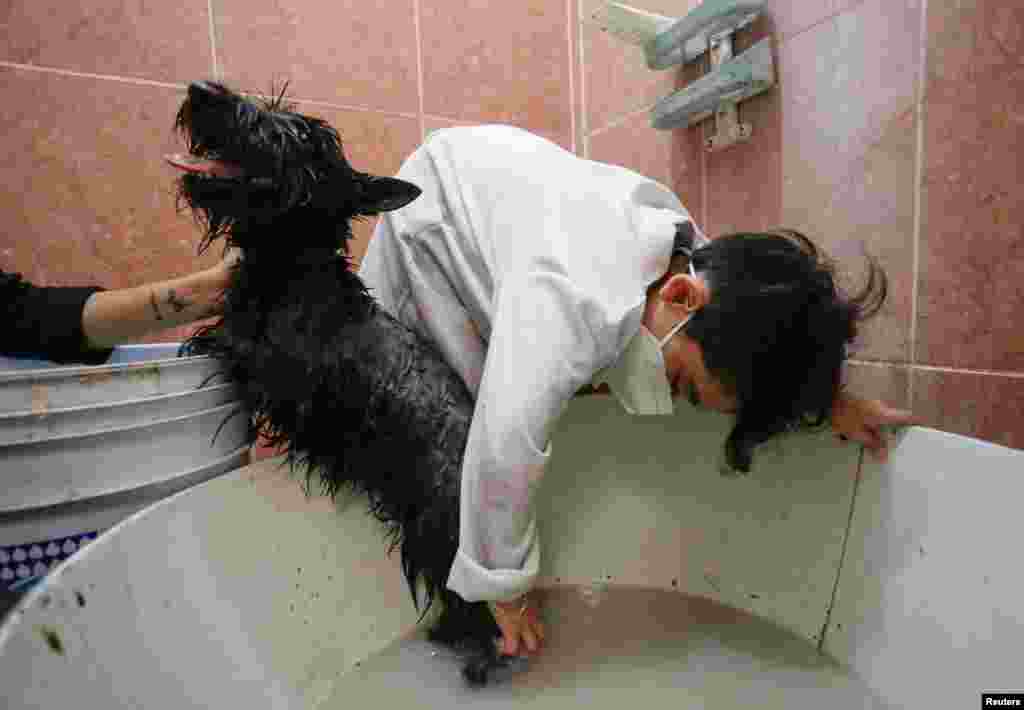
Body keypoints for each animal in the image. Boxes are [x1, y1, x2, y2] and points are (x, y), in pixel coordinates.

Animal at [171, 80, 507, 684]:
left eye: (300, 134)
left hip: (436, 532)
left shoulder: (271, 375)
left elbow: (225, 351)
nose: (203, 89)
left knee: (472, 607)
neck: (290, 270)